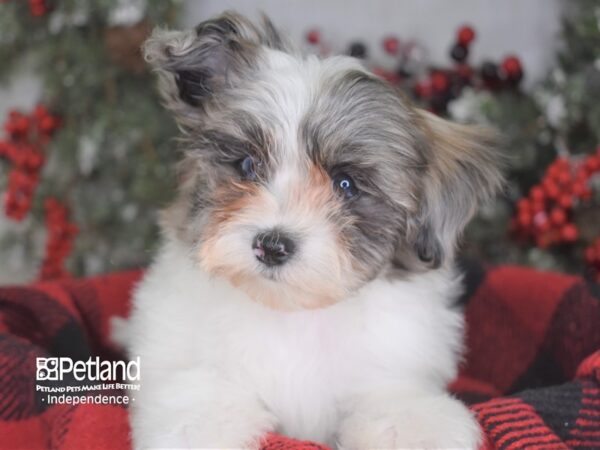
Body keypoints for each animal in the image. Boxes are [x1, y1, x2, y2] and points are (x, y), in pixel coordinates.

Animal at [125, 11, 502, 450]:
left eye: (345, 184)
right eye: (247, 165)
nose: (272, 246)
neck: (291, 311)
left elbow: (390, 400)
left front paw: (414, 426)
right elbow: (199, 396)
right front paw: (204, 427)